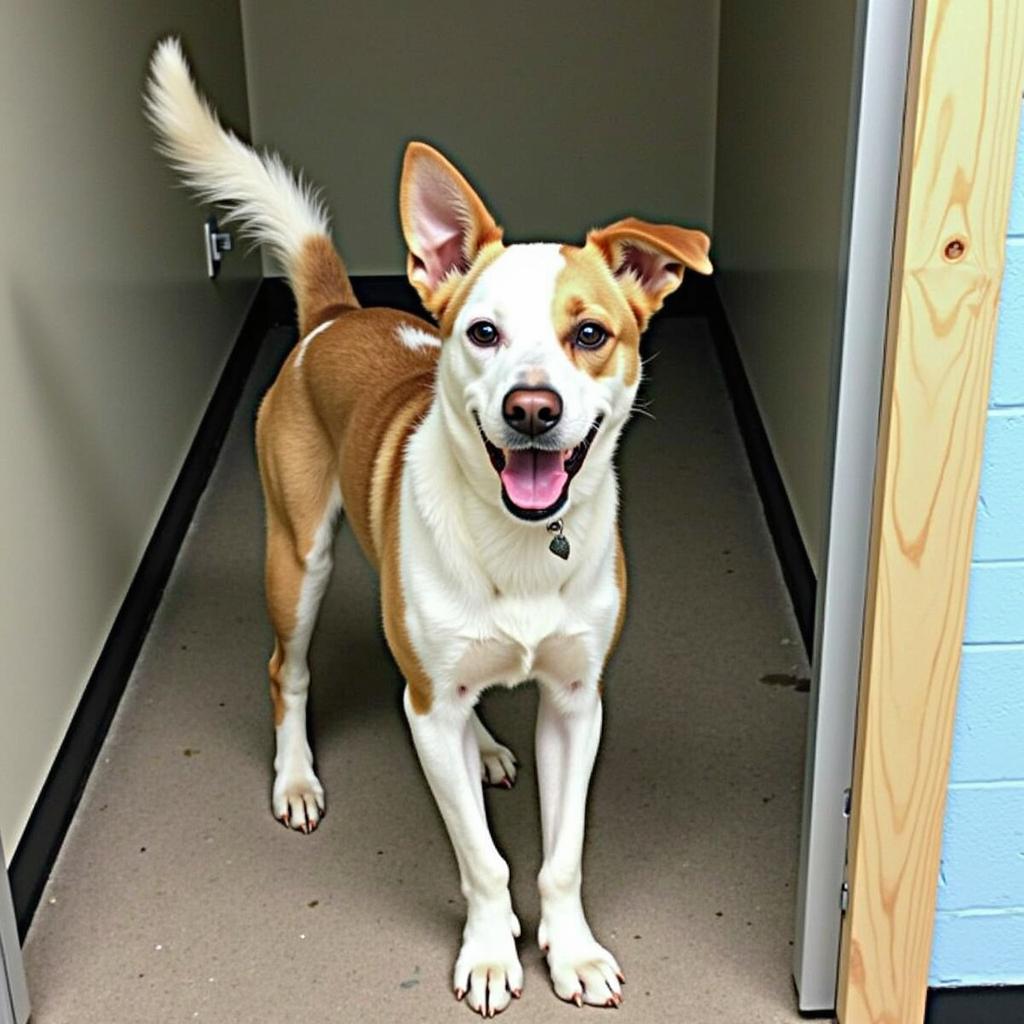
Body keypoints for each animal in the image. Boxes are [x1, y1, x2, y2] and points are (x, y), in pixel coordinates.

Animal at [144, 37, 712, 1015]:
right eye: (483, 333)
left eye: (590, 334)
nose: (532, 410)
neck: (521, 545)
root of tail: (337, 313)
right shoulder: (430, 711)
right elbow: (483, 860)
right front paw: (488, 952)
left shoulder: (576, 703)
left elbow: (561, 856)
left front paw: (573, 951)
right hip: (298, 560)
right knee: (288, 673)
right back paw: (296, 776)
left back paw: (481, 746)